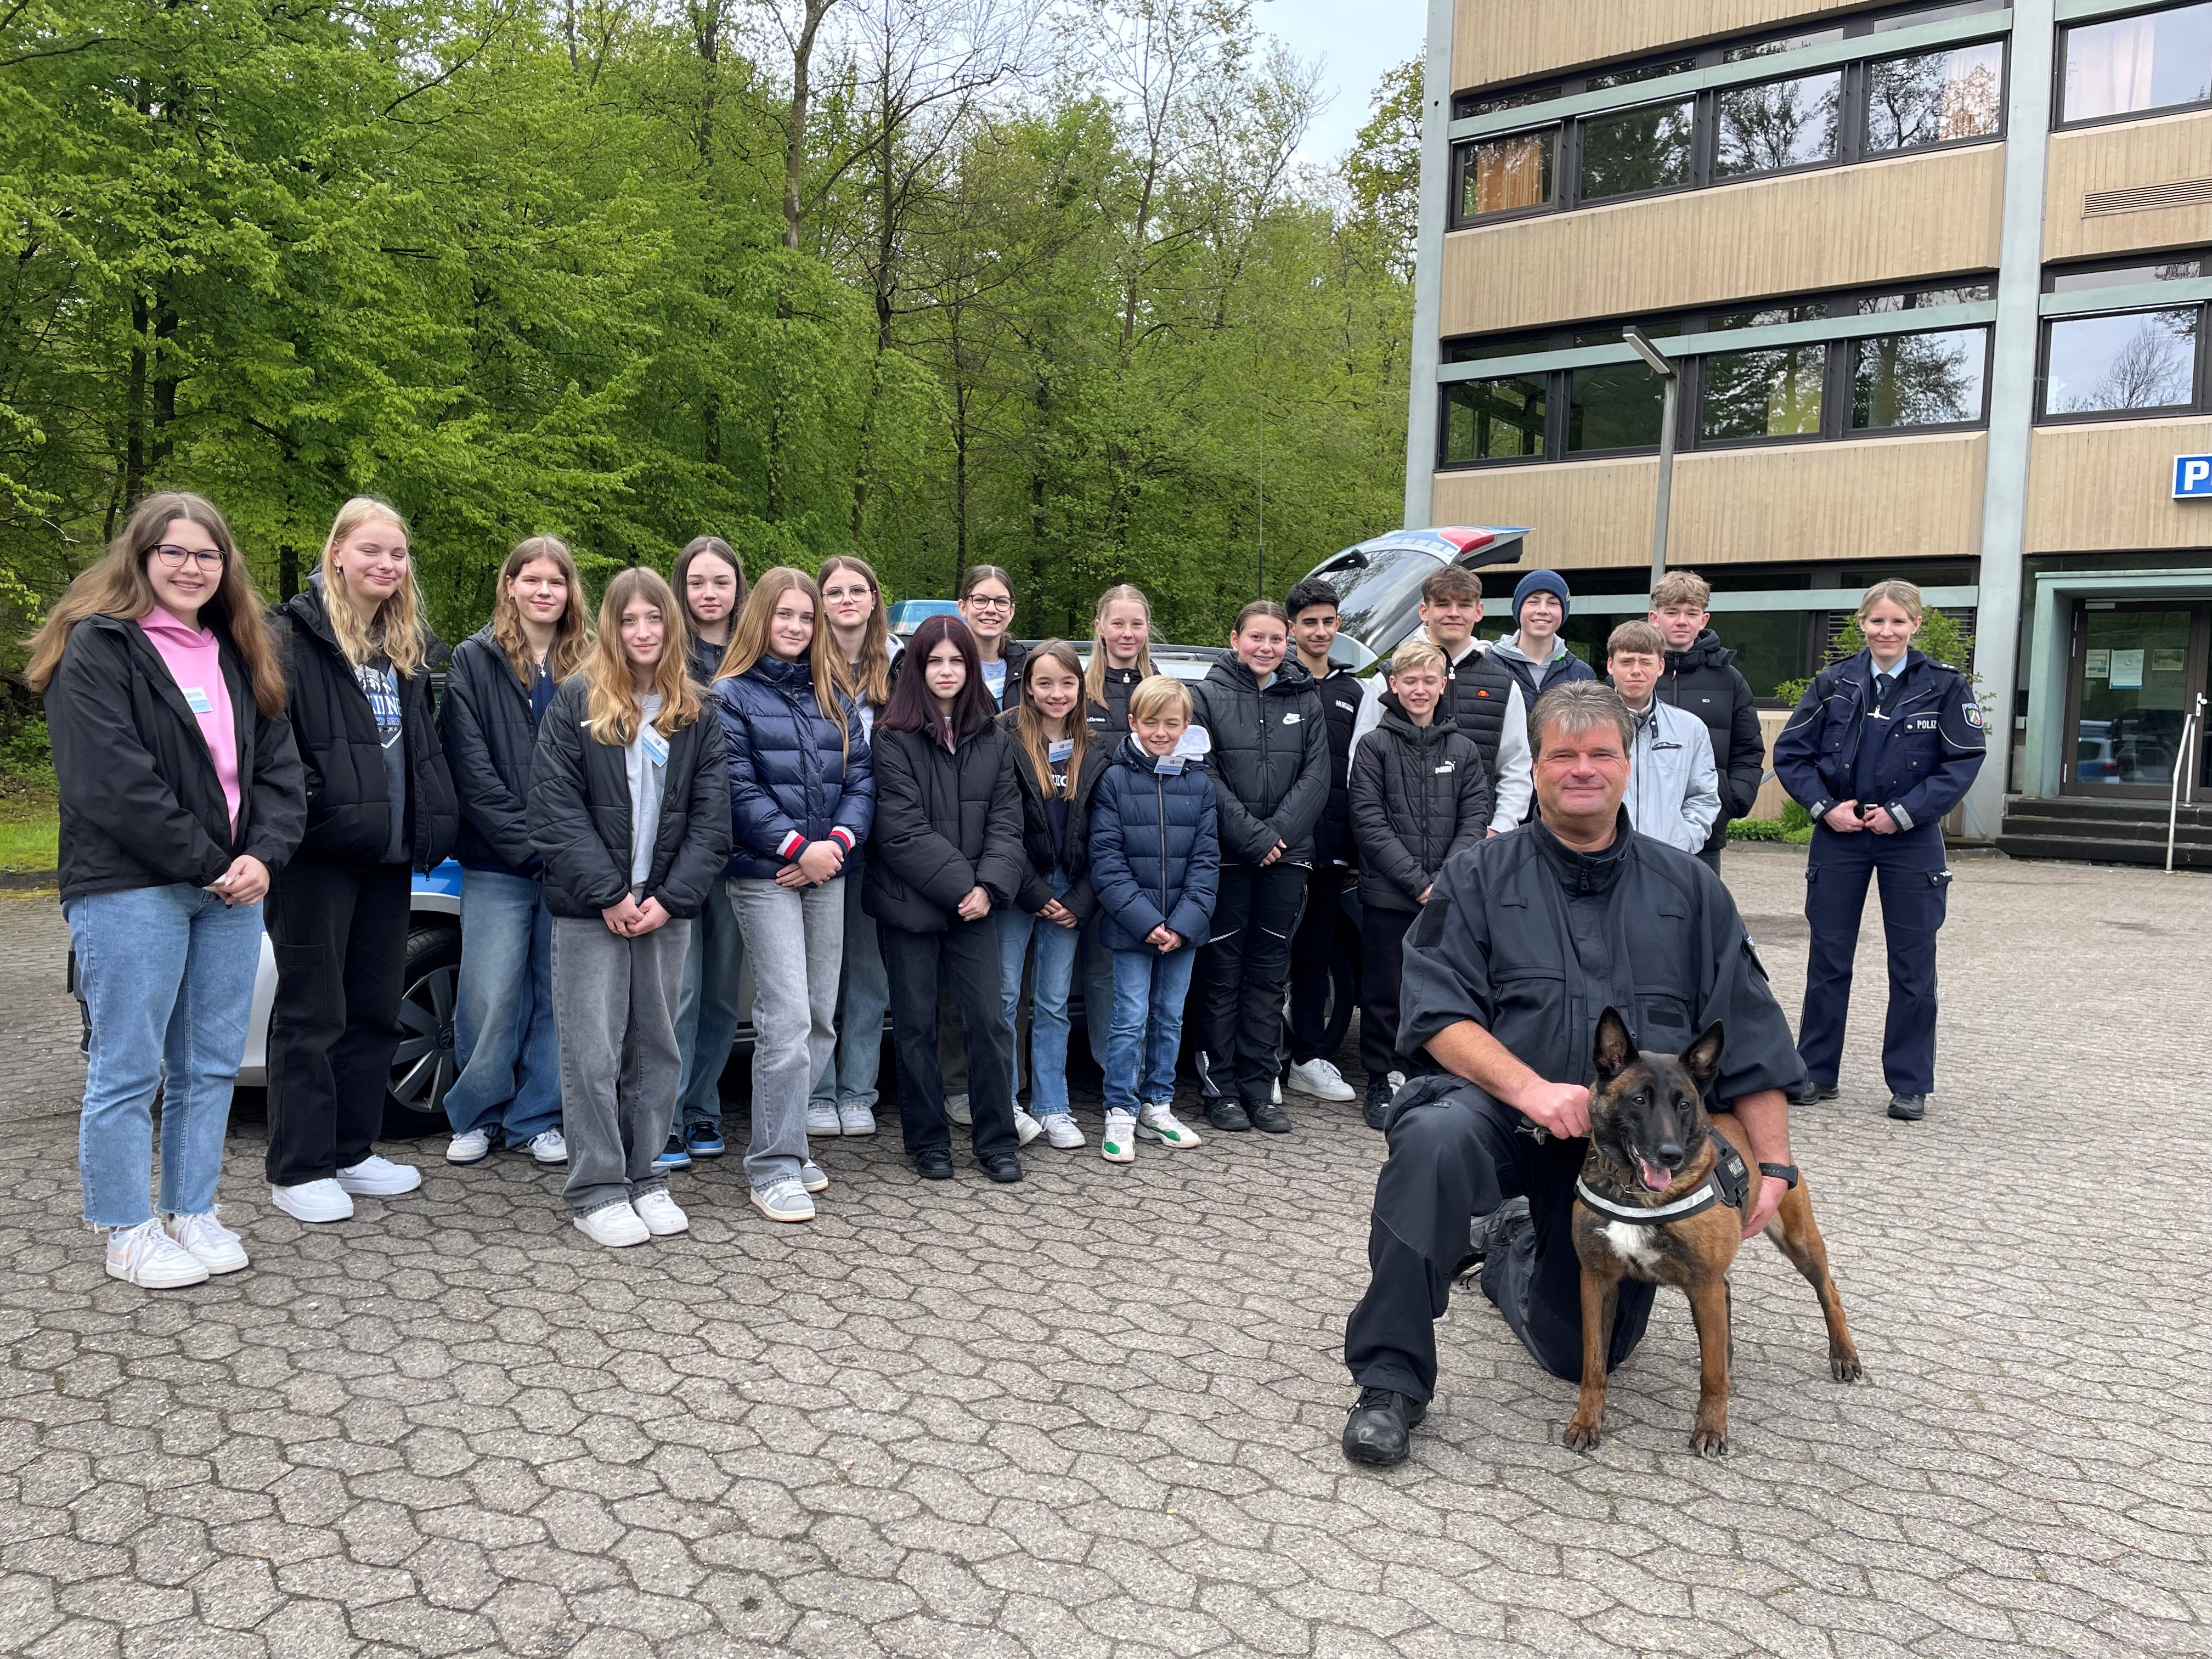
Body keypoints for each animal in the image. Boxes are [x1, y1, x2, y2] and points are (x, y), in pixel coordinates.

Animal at [1566, 1008, 1858, 1460]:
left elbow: (1711, 1376)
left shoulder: (1702, 1284)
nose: (1670, 1154)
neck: (1636, 1194)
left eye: (1684, 1104)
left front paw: (1711, 1429)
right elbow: (1593, 1366)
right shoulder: (1597, 1281)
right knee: (1728, 1300)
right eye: (1639, 1100)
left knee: (1829, 1290)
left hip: (1798, 1242)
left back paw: (1843, 1354)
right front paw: (1587, 1422)